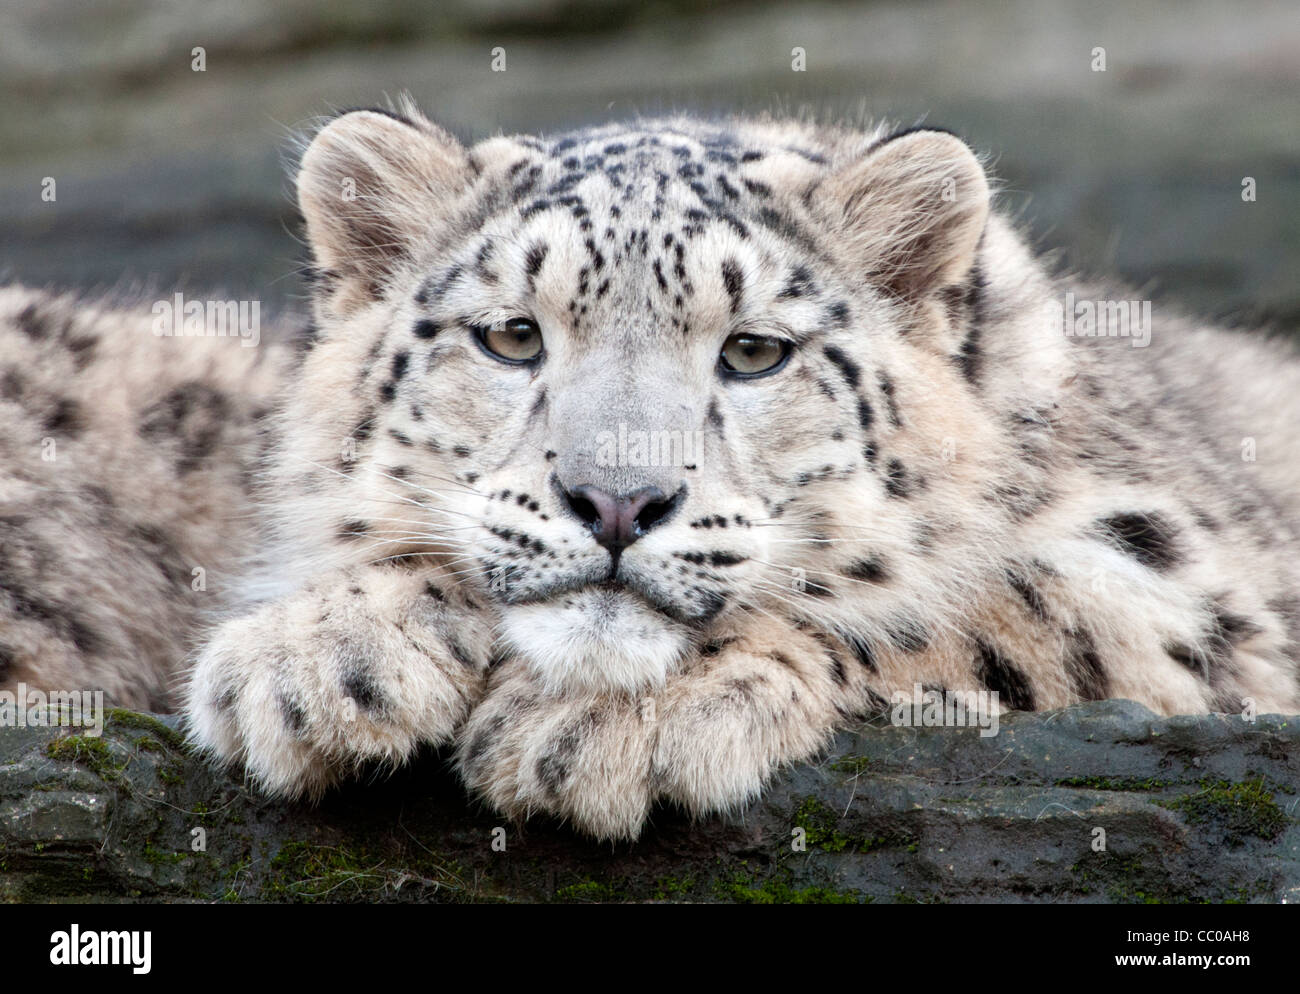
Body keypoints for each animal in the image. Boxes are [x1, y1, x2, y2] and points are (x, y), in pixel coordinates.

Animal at [2, 100, 1300, 831]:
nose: (617, 501)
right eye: (511, 334)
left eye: (754, 349)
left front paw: (614, 723)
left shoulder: (1202, 611)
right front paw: (319, 655)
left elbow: (980, 600)